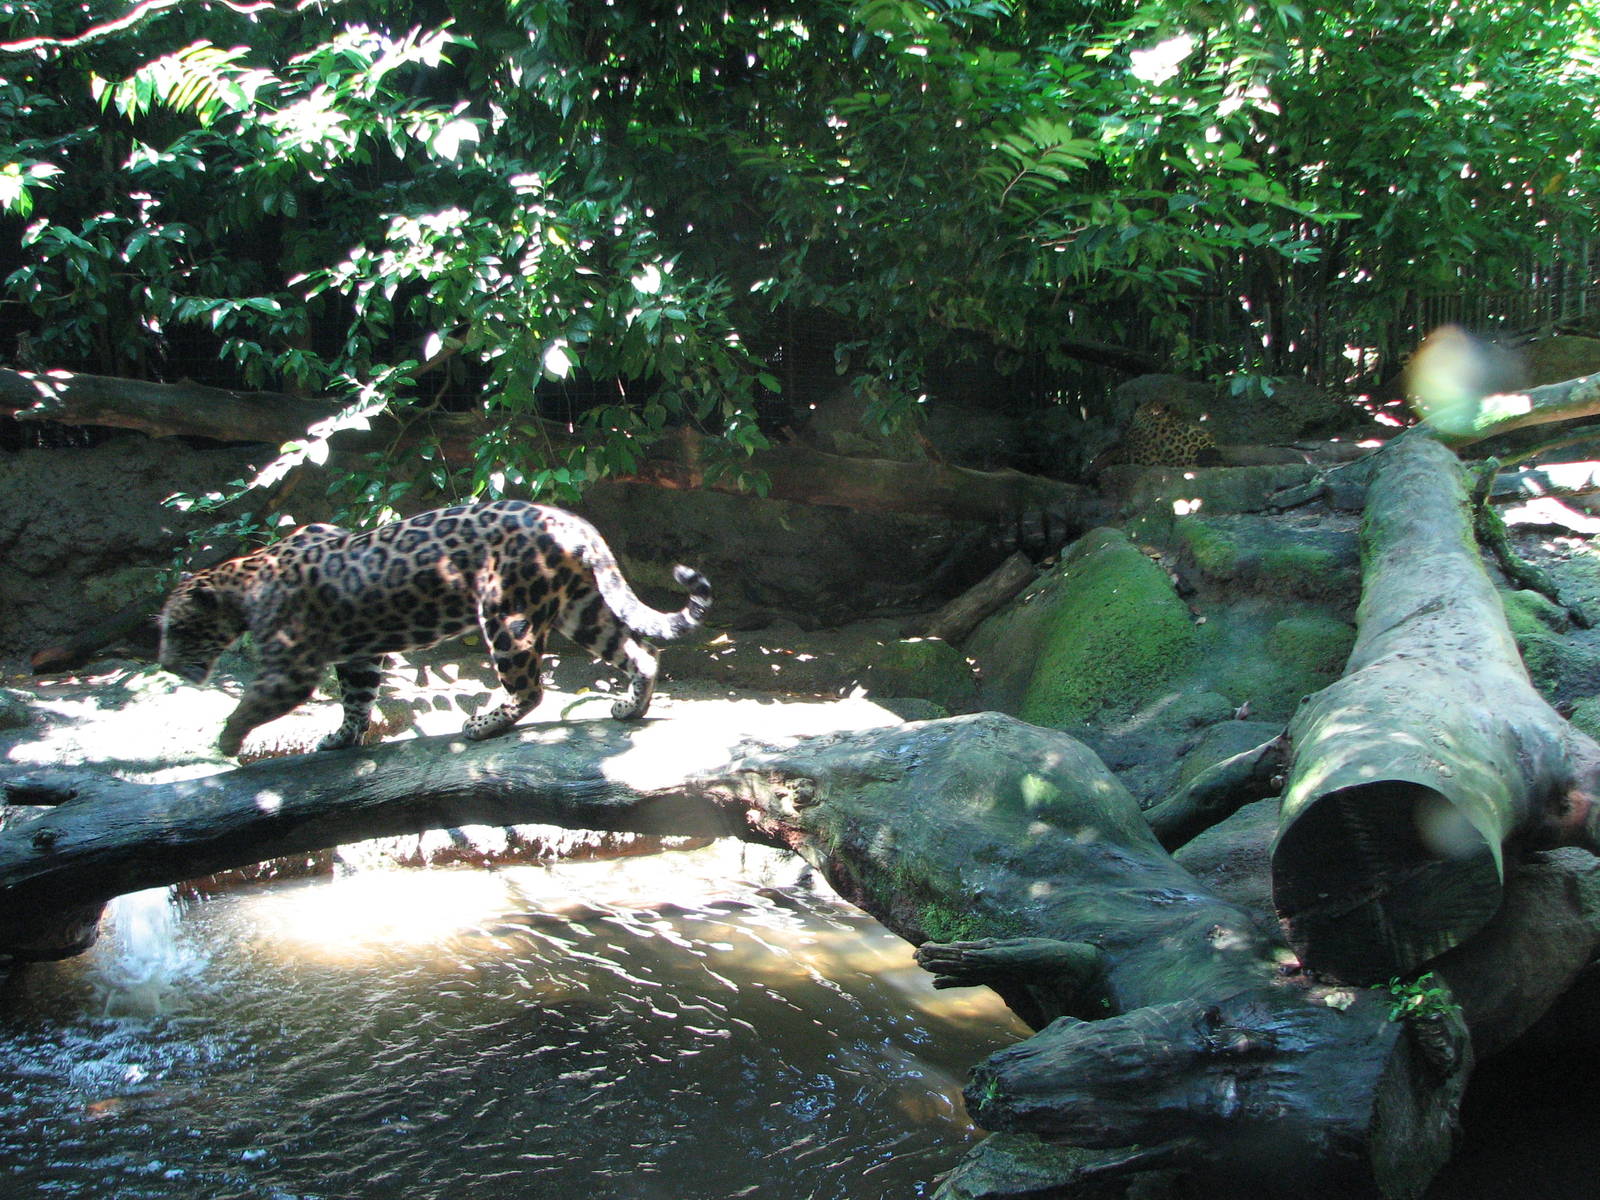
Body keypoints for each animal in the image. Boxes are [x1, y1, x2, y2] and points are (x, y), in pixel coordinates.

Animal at [157, 500, 712, 757]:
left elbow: (253, 702)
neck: (240, 581)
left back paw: (484, 724)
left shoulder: (290, 668)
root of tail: (576, 523)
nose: (164, 663)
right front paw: (342, 737)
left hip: (505, 611)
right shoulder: (357, 654)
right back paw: (630, 708)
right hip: (580, 607)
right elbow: (357, 697)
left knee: (529, 687)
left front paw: (227, 740)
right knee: (641, 653)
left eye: (179, 630)